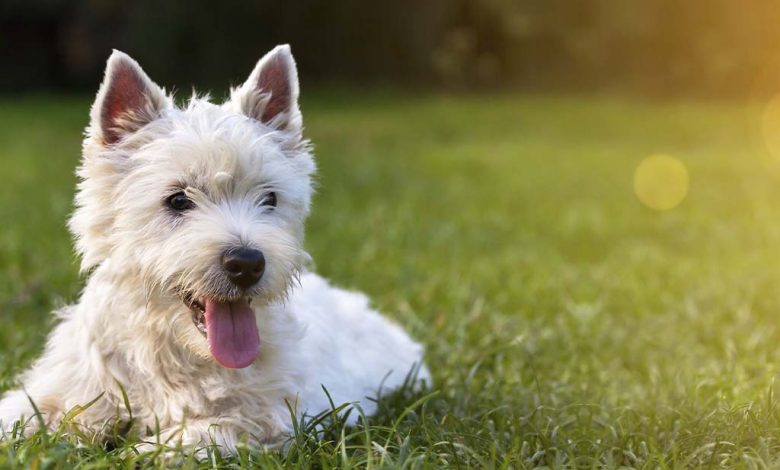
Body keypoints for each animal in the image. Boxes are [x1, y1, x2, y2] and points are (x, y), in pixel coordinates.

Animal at [0, 46, 426, 454]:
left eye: (270, 198)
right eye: (177, 200)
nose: (247, 264)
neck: (174, 352)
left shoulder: (265, 419)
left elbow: (188, 438)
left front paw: (134, 451)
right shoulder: (66, 390)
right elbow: (24, 413)